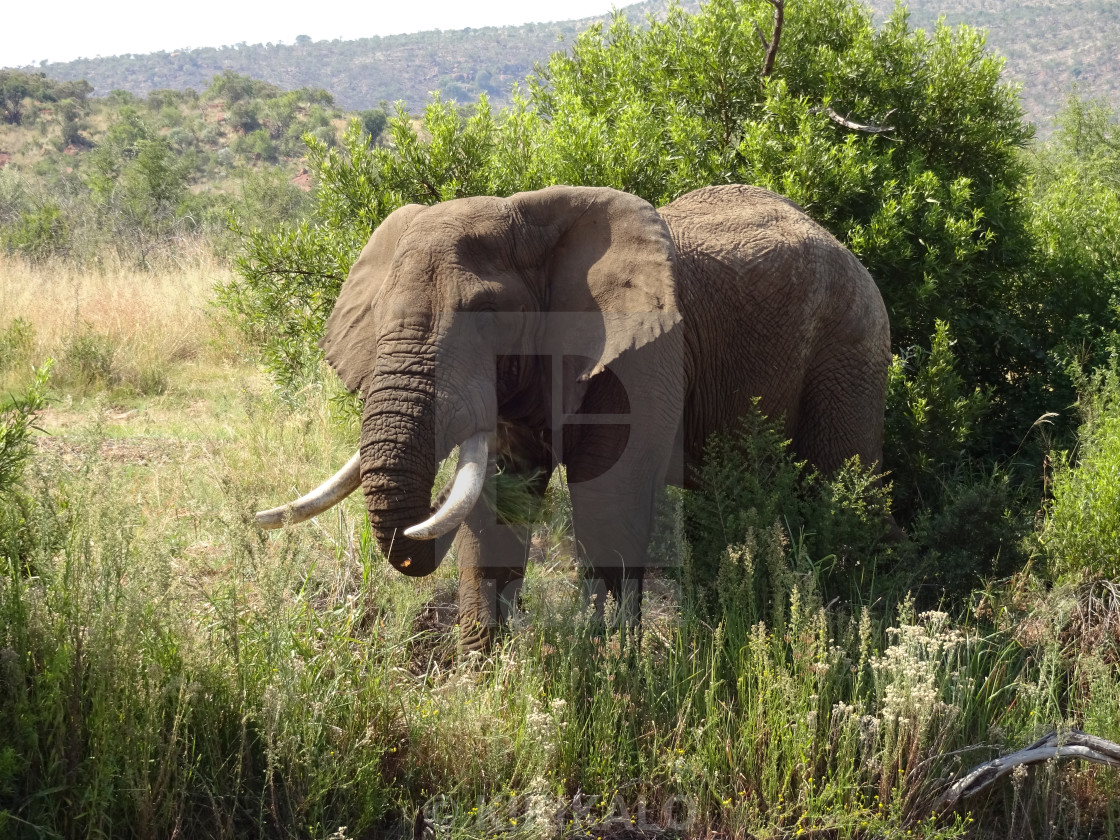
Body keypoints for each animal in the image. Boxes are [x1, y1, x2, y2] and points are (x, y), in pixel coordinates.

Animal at [256, 185, 891, 649]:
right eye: (377, 313)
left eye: (488, 313)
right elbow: (498, 499)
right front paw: (482, 671)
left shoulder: (643, 358)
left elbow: (606, 500)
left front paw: (607, 665)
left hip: (852, 343)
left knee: (836, 490)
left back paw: (843, 619)